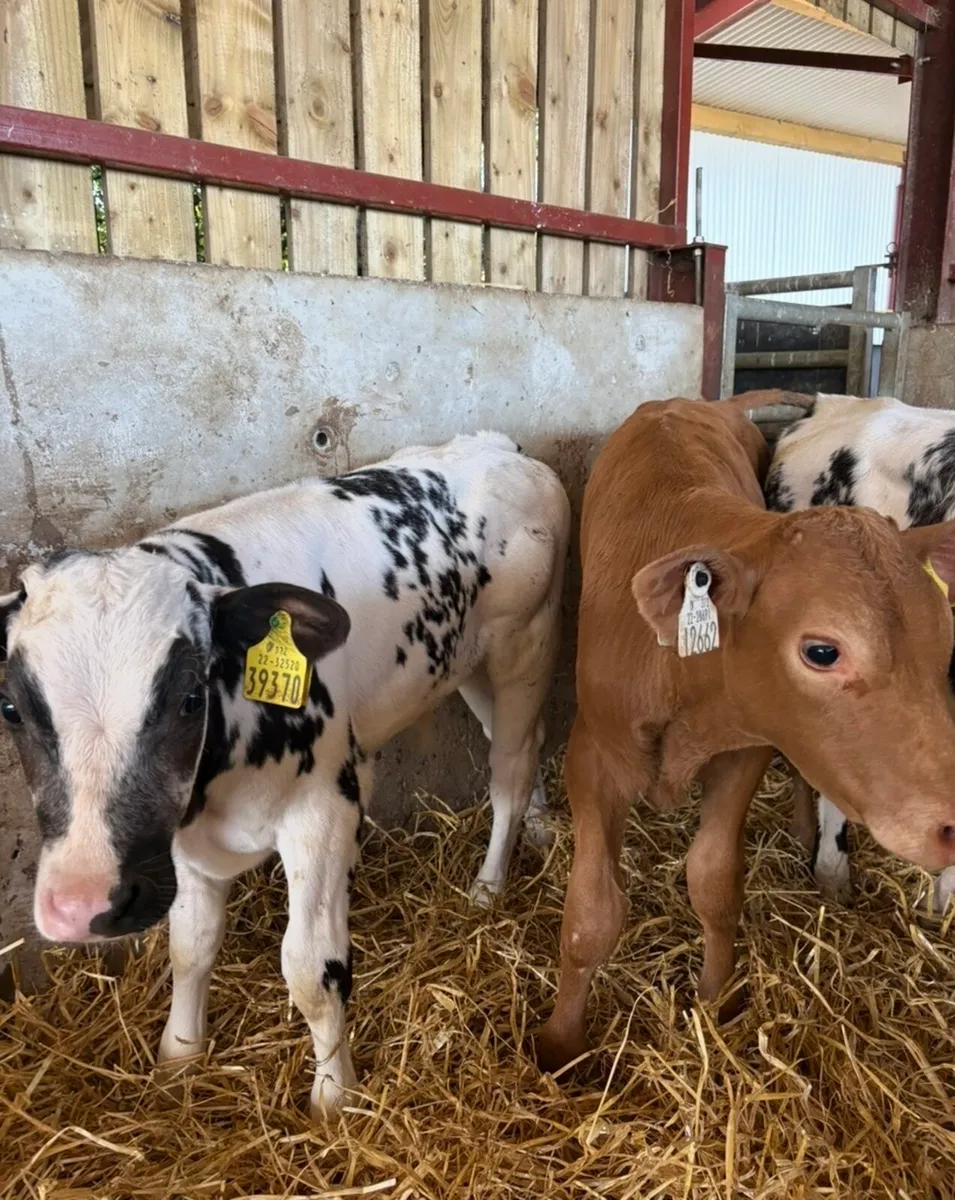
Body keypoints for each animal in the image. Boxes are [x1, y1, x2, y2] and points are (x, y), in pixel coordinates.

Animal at [0, 432, 570, 1118]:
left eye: (190, 697)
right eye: (9, 707)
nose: (83, 904)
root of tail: (497, 445)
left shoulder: (320, 813)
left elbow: (309, 969)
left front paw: (333, 1097)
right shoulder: (176, 835)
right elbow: (190, 946)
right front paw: (178, 1057)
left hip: (526, 648)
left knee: (509, 769)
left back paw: (489, 883)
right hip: (469, 664)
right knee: (524, 744)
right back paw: (538, 826)